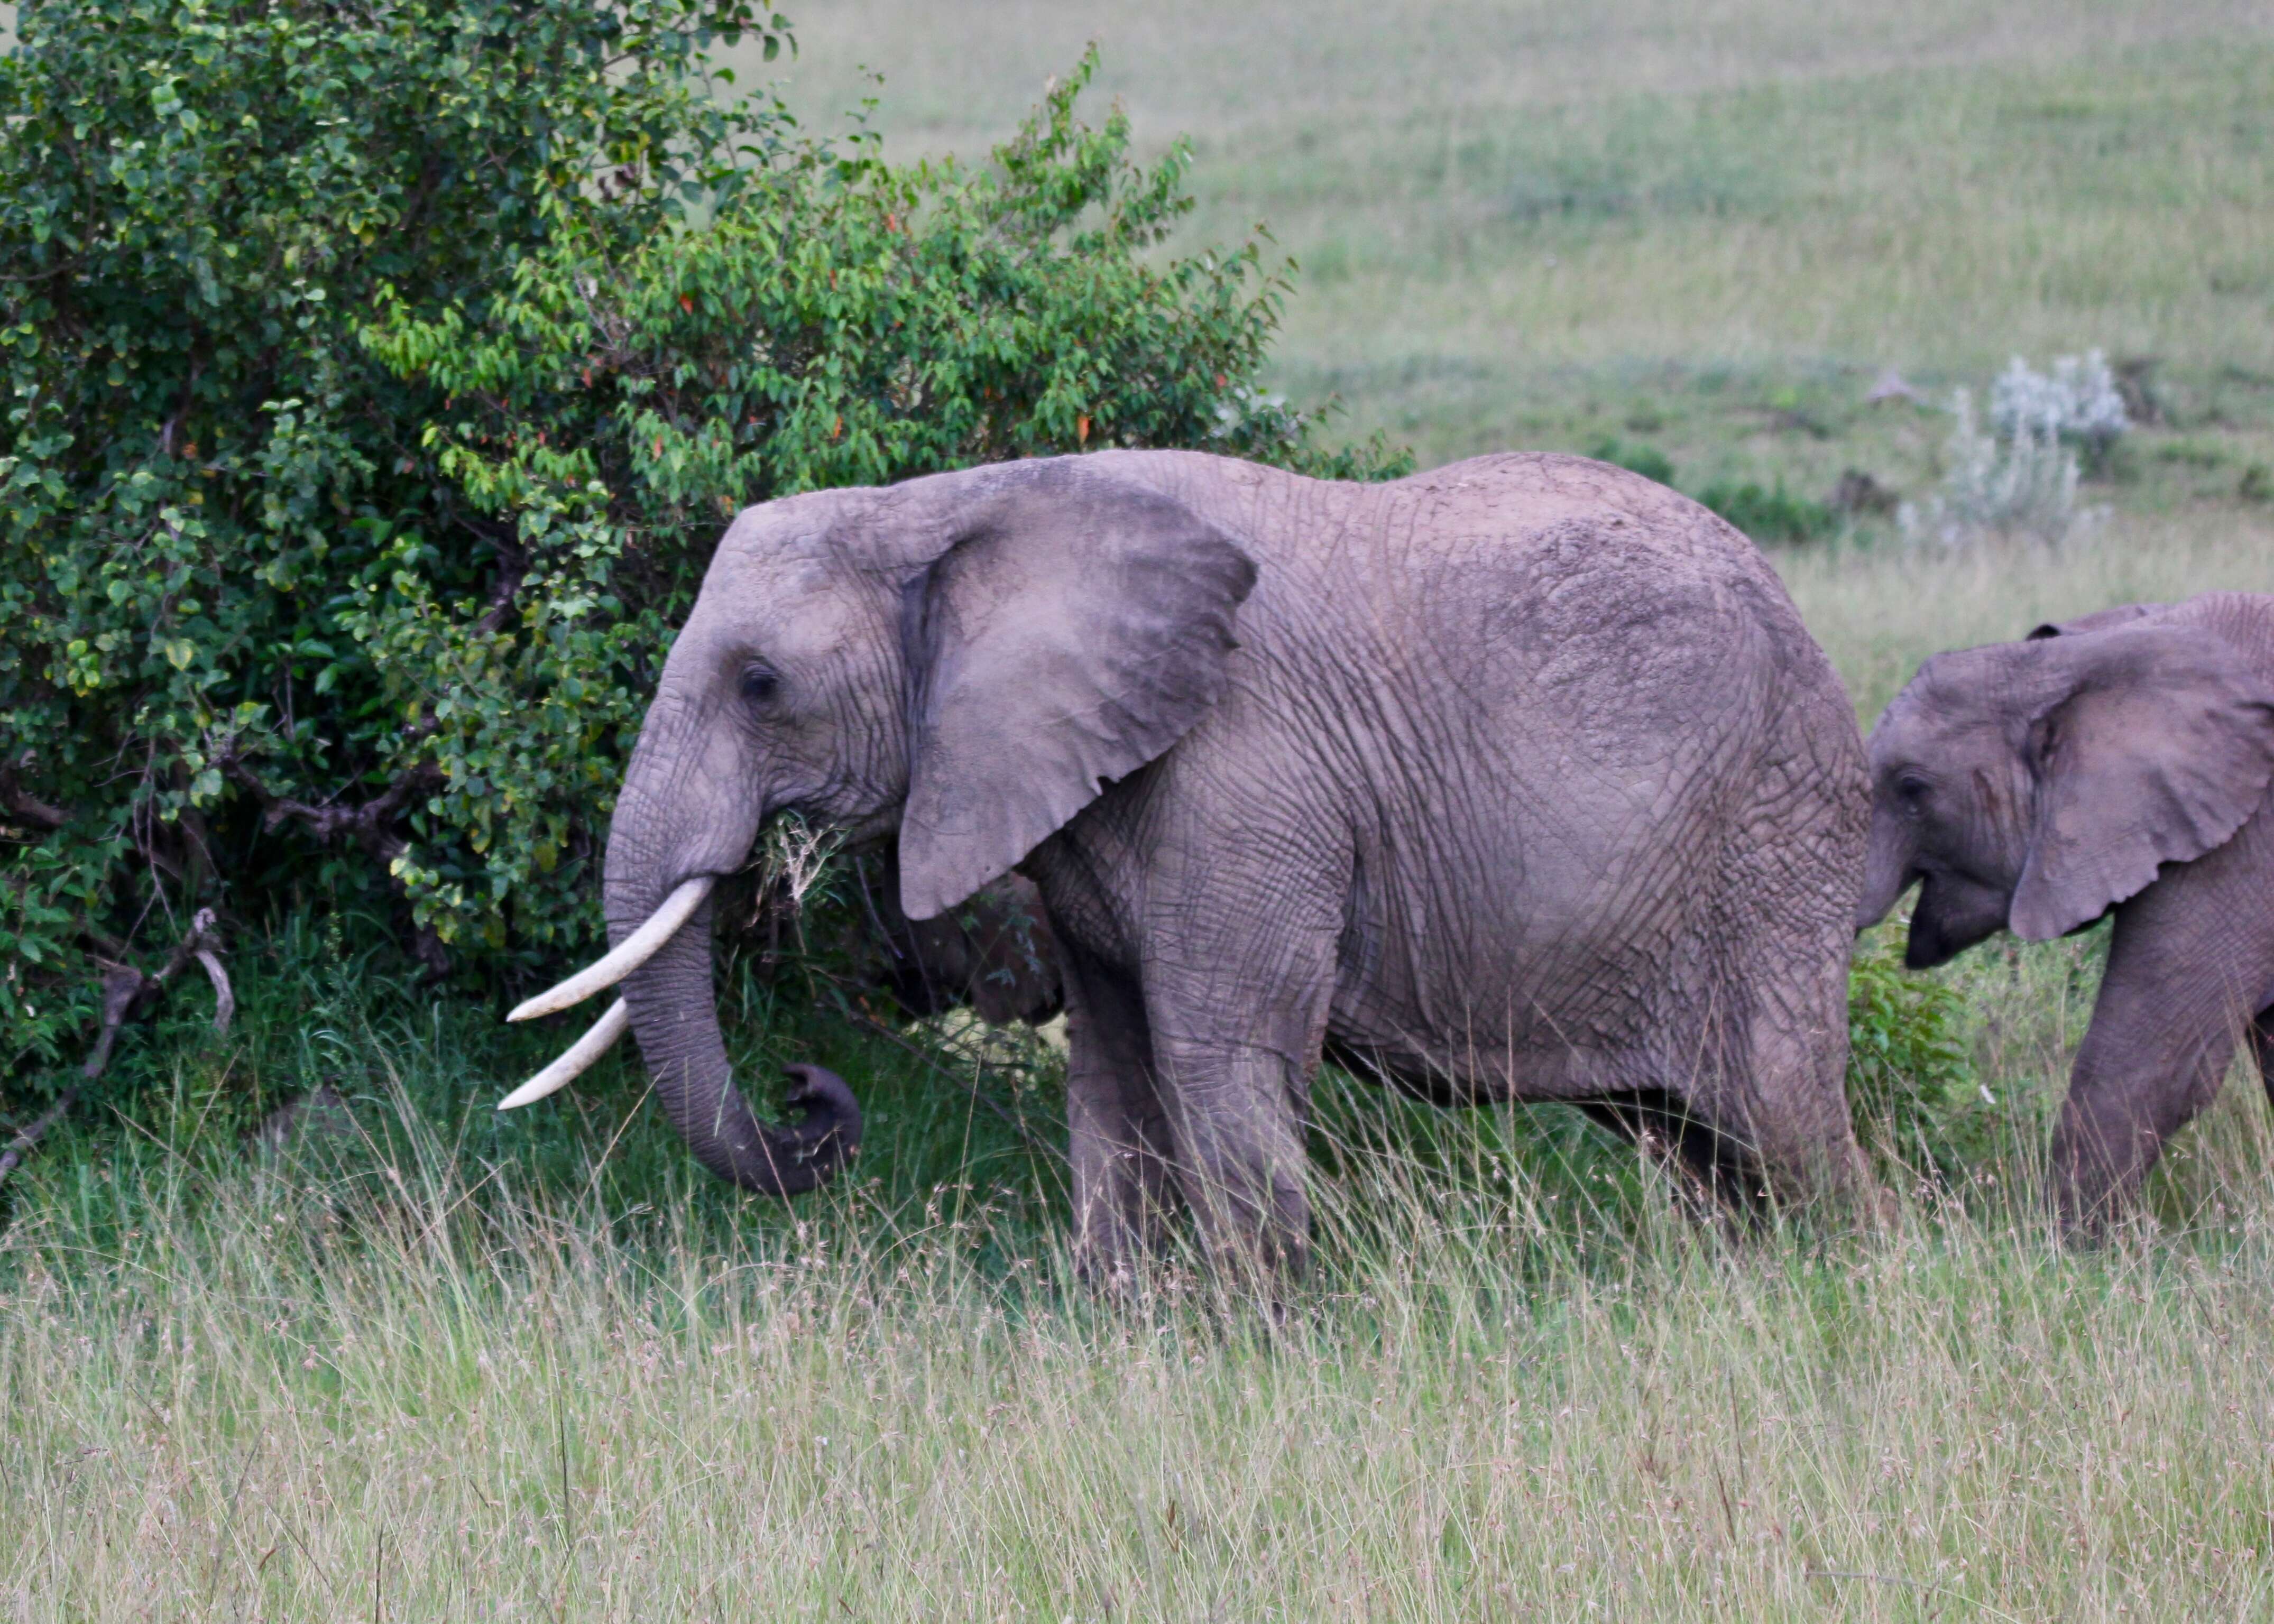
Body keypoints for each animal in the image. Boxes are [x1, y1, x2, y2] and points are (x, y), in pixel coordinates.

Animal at [507, 448, 1874, 1274]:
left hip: (1771, 837)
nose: (806, 1087)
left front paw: (1267, 1345)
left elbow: (1217, 1051)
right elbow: (1112, 1069)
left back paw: (1845, 1285)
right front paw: (1129, 1328)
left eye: (759, 683)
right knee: (1698, 1146)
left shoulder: (1245, 777)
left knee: (1784, 1119)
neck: (955, 503)